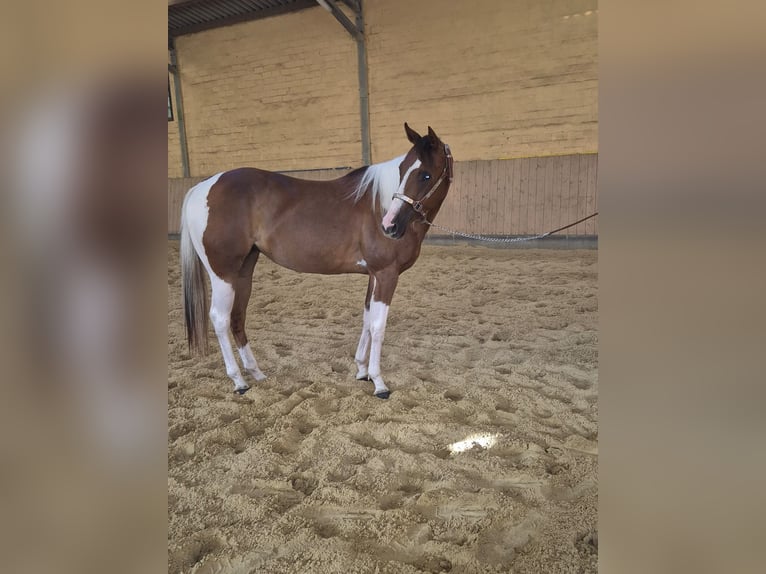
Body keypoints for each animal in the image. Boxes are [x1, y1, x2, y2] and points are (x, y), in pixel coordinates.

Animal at [180, 123, 453, 399]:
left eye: (426, 175)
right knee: (220, 318)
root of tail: (202, 187)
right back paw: (238, 381)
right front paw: (379, 382)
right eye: (402, 171)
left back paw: (256, 373)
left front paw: (362, 371)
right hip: (223, 274)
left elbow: (367, 319)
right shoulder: (387, 273)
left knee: (237, 316)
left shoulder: (374, 274)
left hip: (244, 271)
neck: (380, 204)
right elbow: (378, 326)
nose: (390, 226)